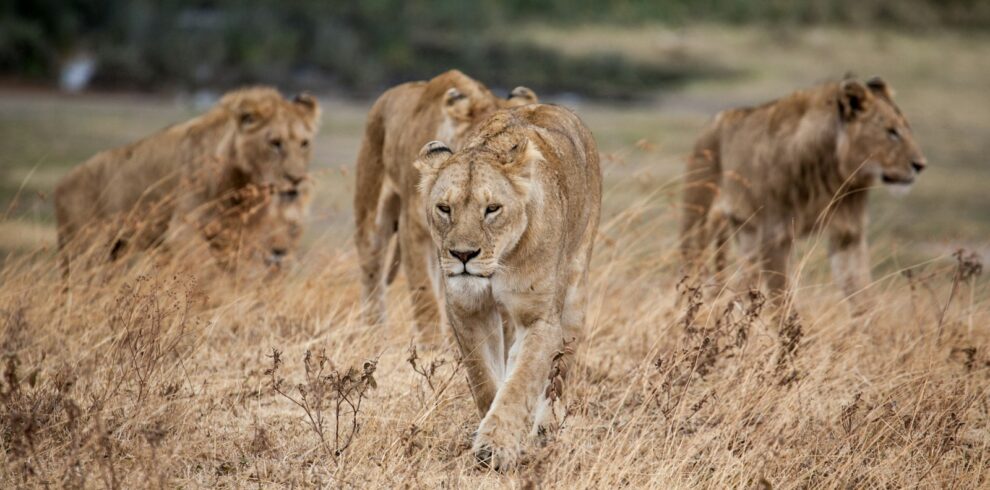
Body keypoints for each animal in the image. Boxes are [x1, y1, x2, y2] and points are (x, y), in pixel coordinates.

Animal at [54, 85, 322, 276]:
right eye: (275, 143)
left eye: (304, 143)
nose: (296, 179)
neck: (240, 185)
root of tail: (62, 182)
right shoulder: (182, 231)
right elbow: (203, 276)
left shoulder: (234, 237)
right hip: (85, 249)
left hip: (115, 250)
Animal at [354, 69, 544, 344]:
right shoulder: (414, 231)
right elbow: (425, 296)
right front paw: (432, 348)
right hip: (371, 213)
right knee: (372, 275)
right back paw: (373, 335)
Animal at [414, 104, 600, 470]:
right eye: (444, 208)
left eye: (492, 209)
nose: (463, 255)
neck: (498, 265)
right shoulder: (467, 310)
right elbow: (484, 378)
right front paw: (490, 428)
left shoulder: (540, 319)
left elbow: (521, 382)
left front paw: (495, 447)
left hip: (575, 293)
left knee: (558, 375)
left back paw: (545, 430)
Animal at [680, 76, 928, 306]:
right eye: (891, 132)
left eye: (907, 130)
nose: (920, 165)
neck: (832, 175)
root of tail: (713, 121)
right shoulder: (775, 236)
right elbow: (783, 304)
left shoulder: (848, 234)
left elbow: (863, 297)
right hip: (699, 221)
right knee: (691, 268)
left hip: (747, 233)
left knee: (742, 284)